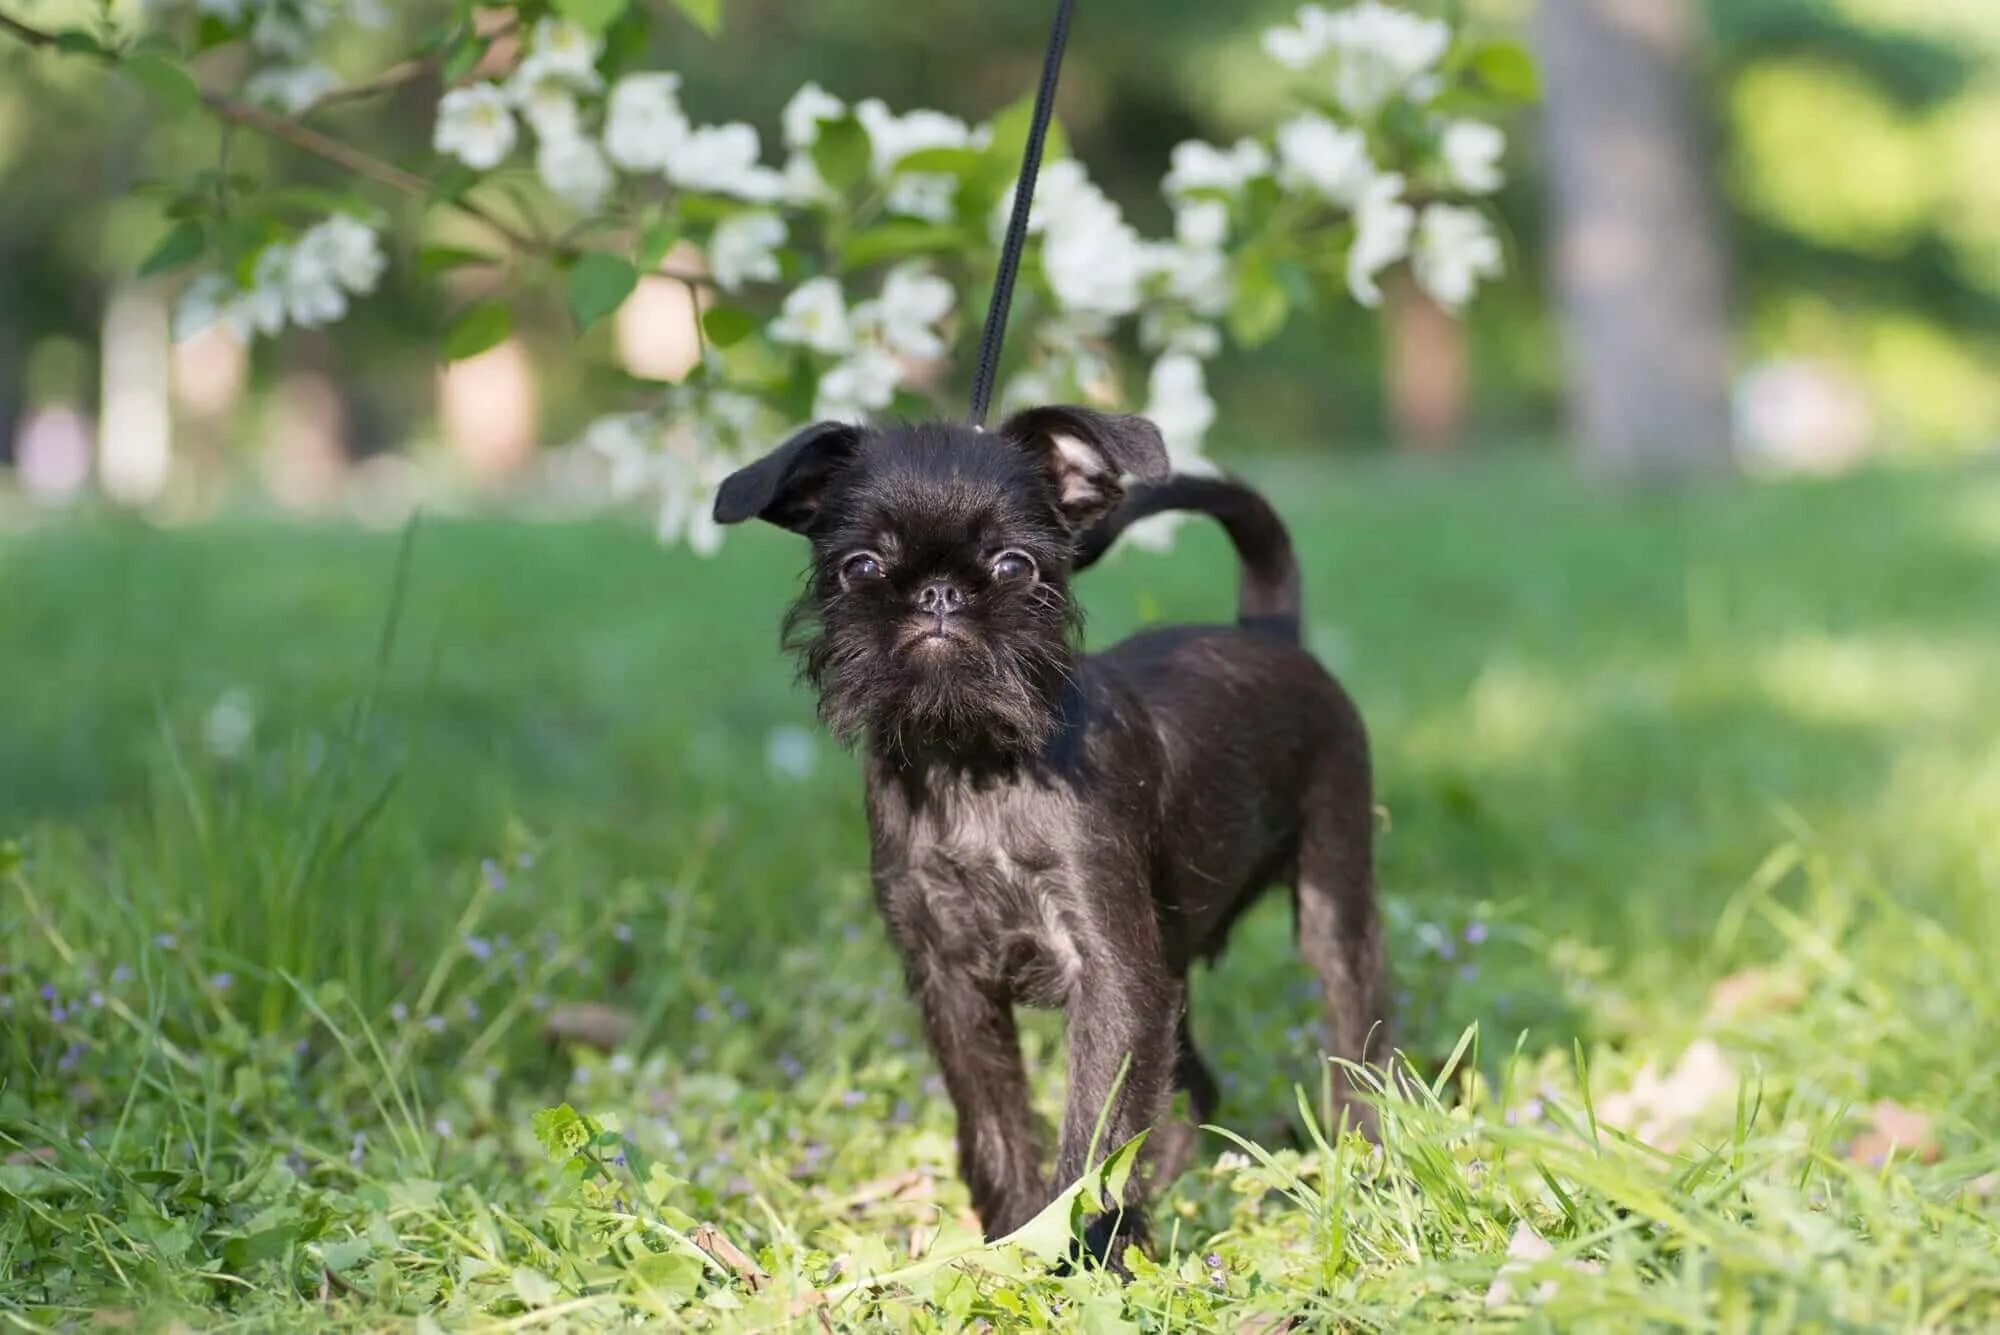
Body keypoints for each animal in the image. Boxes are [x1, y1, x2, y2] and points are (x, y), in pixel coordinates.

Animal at [712, 407, 1384, 1263]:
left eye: (1013, 564)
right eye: (860, 566)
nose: (938, 590)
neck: (971, 761)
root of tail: (1272, 631)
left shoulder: (1110, 973)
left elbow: (1096, 1131)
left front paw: (1078, 1255)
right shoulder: (955, 983)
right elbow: (998, 1124)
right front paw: (1015, 1239)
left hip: (1333, 893)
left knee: (1356, 1035)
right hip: (1171, 962)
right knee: (1193, 1084)